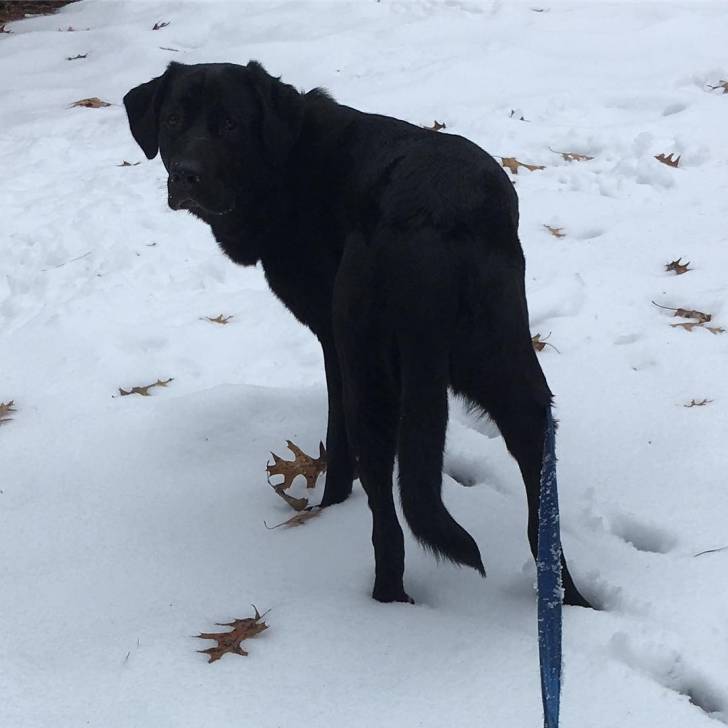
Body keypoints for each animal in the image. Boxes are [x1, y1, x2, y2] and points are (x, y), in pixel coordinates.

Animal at [123, 61, 592, 608]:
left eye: (230, 125)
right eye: (174, 120)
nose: (186, 174)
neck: (287, 164)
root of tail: (432, 219)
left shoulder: (333, 340)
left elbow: (338, 439)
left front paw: (329, 505)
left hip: (373, 374)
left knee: (387, 519)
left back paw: (385, 602)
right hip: (510, 368)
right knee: (539, 515)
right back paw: (570, 601)